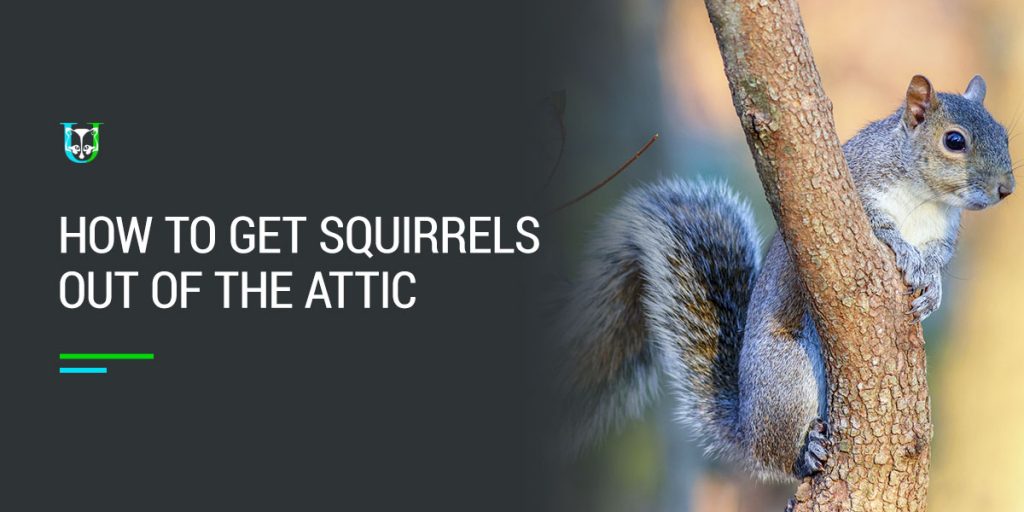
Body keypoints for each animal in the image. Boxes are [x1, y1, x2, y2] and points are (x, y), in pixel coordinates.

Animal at [558, 75, 1015, 481]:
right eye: (954, 141)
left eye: (1004, 136)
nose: (1006, 189)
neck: (927, 199)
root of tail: (746, 429)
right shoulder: (859, 189)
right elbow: (880, 227)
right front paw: (904, 252)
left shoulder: (944, 234)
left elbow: (937, 258)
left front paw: (932, 285)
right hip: (788, 377)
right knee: (781, 456)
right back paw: (805, 451)